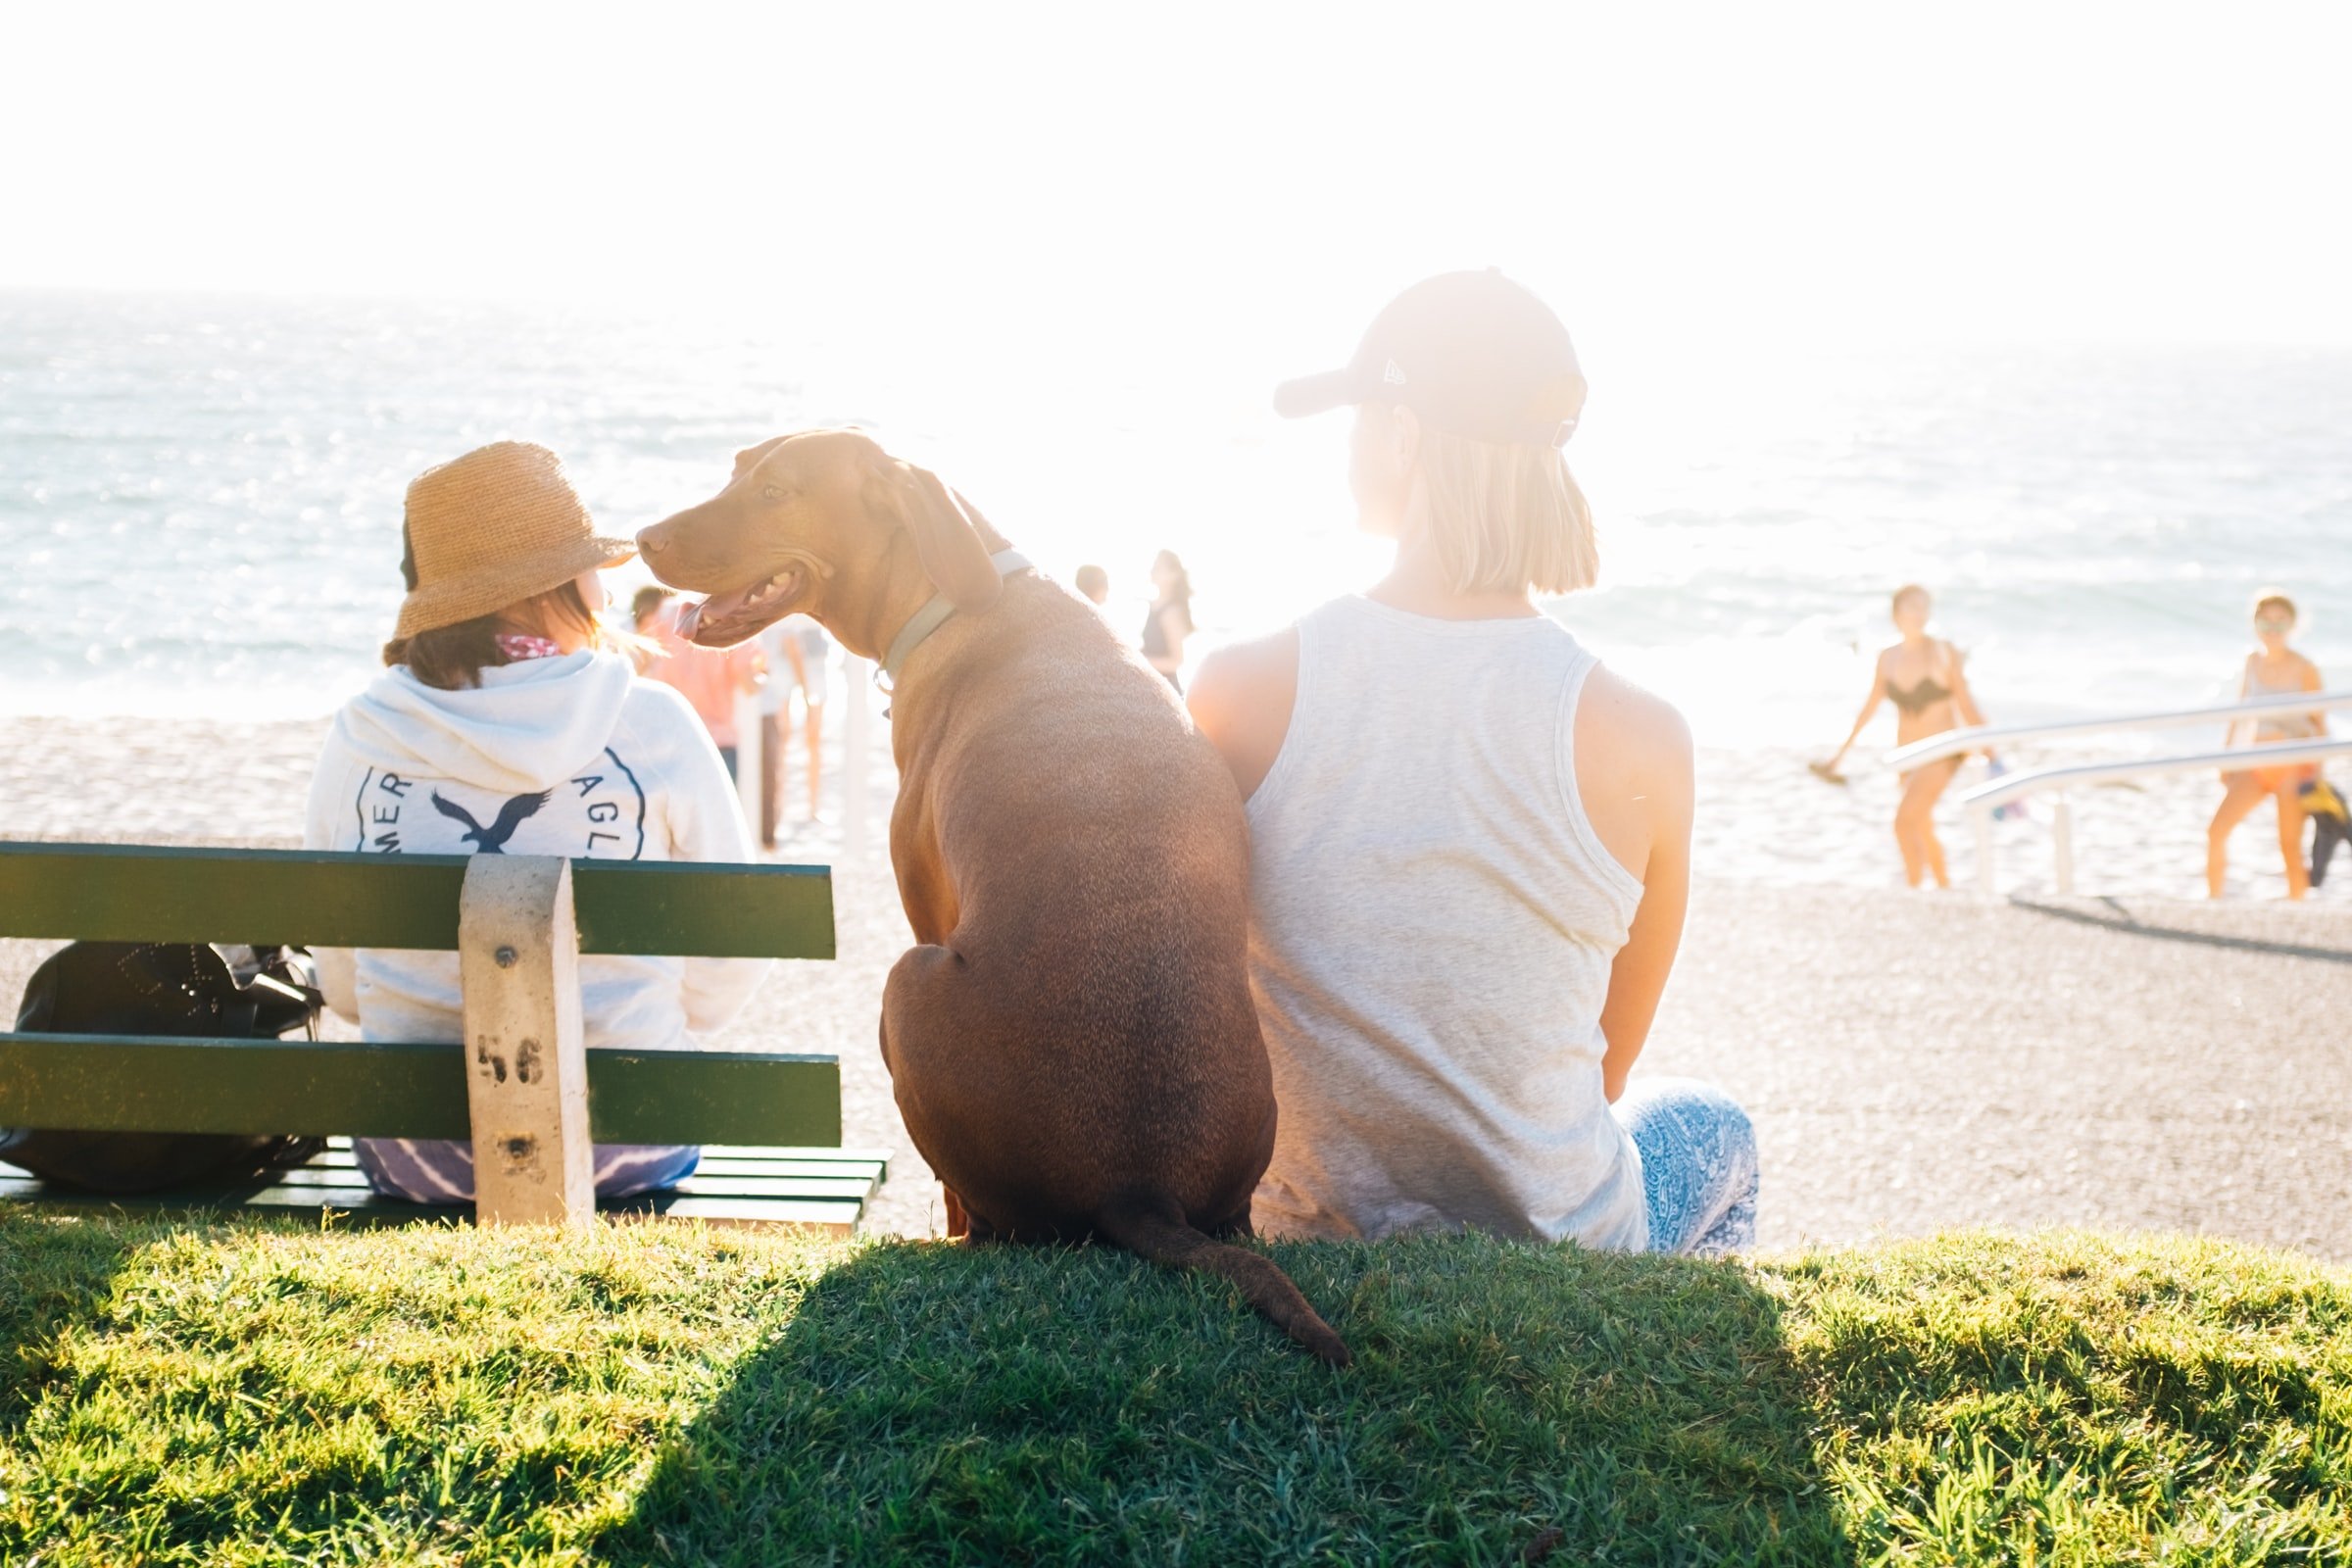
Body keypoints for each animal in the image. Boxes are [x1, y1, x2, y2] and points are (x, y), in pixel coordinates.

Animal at [635, 429, 1354, 1363]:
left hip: (906, 982)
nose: (642, 538)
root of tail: (1139, 1186)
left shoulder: (924, 902)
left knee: (981, 1219)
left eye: (776, 491)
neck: (961, 591)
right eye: (734, 472)